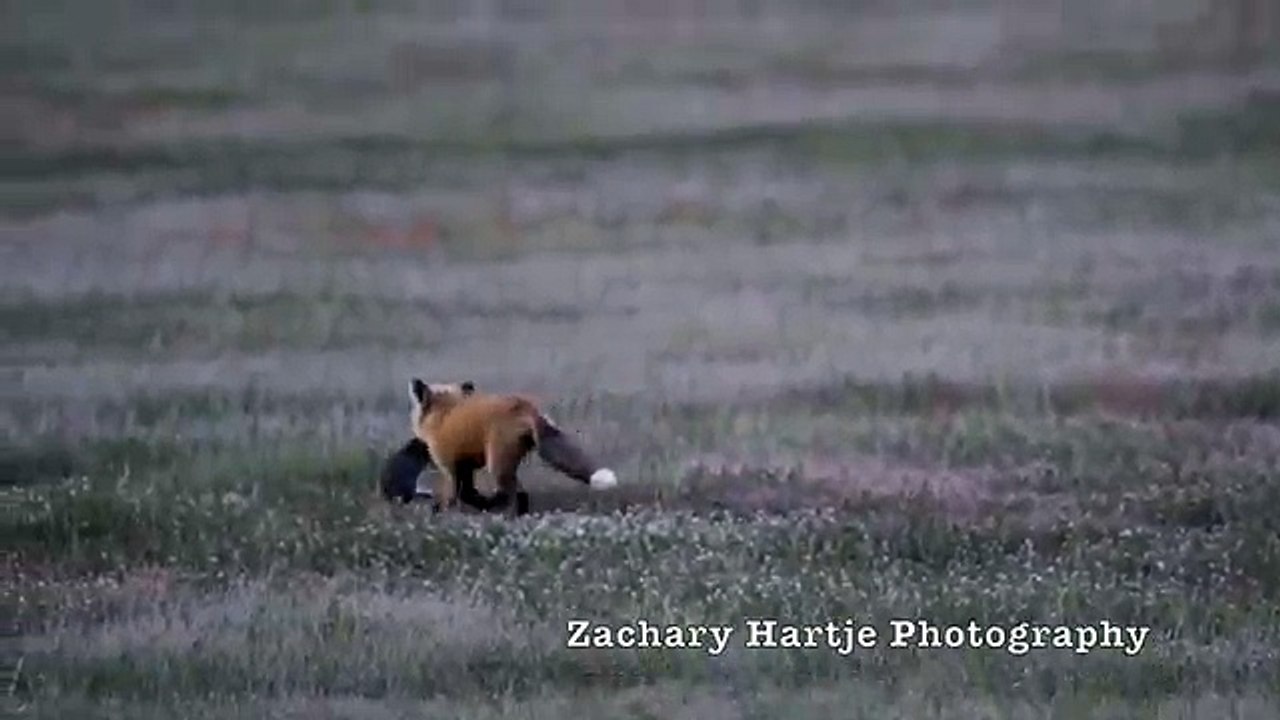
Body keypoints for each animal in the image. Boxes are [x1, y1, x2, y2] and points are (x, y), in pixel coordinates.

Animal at [408, 377, 618, 517]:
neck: (443, 413)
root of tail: (524, 407)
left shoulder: (451, 467)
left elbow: (457, 496)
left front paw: (441, 512)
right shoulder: (464, 466)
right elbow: (466, 493)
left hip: (497, 464)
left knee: (508, 494)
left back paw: (499, 511)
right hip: (507, 463)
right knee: (521, 494)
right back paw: (518, 516)